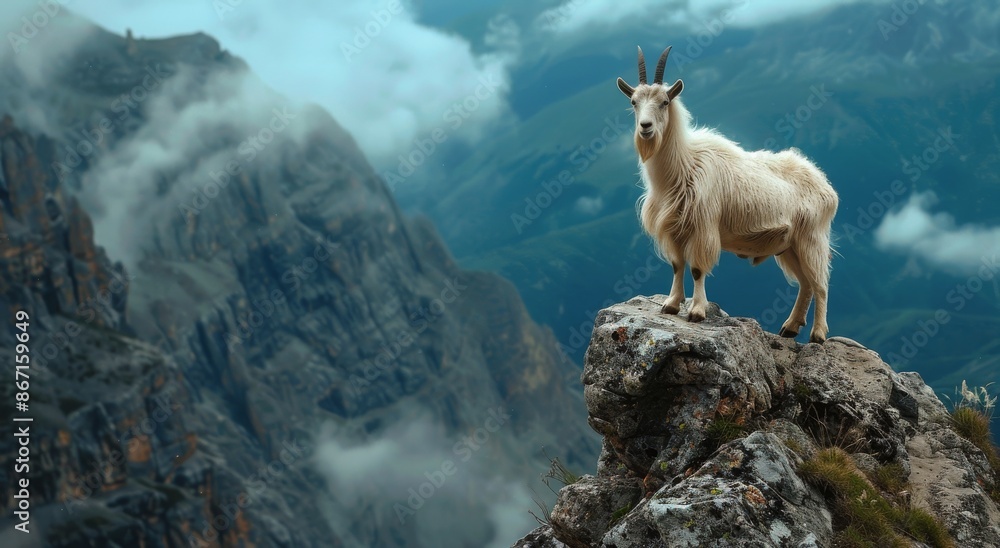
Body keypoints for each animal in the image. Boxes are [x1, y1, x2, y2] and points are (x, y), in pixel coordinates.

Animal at [616, 46, 839, 343]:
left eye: (664, 102)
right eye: (633, 102)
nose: (645, 127)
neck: (683, 167)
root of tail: (826, 186)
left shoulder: (703, 227)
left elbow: (697, 269)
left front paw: (697, 311)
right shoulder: (675, 230)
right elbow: (677, 265)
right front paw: (671, 305)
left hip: (812, 238)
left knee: (821, 284)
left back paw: (817, 334)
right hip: (790, 245)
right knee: (806, 284)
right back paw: (790, 328)